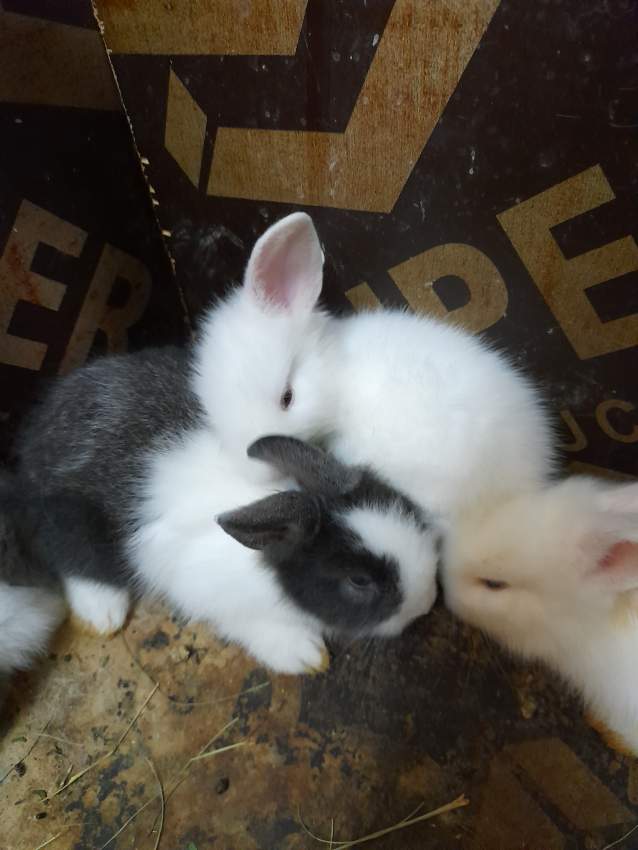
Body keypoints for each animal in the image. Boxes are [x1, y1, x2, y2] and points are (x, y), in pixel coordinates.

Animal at [15, 343, 438, 673]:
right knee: (73, 560)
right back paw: (103, 615)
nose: (427, 603)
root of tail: (33, 441)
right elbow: (246, 624)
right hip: (72, 520)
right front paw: (305, 656)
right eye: (358, 581)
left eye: (403, 505)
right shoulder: (202, 590)